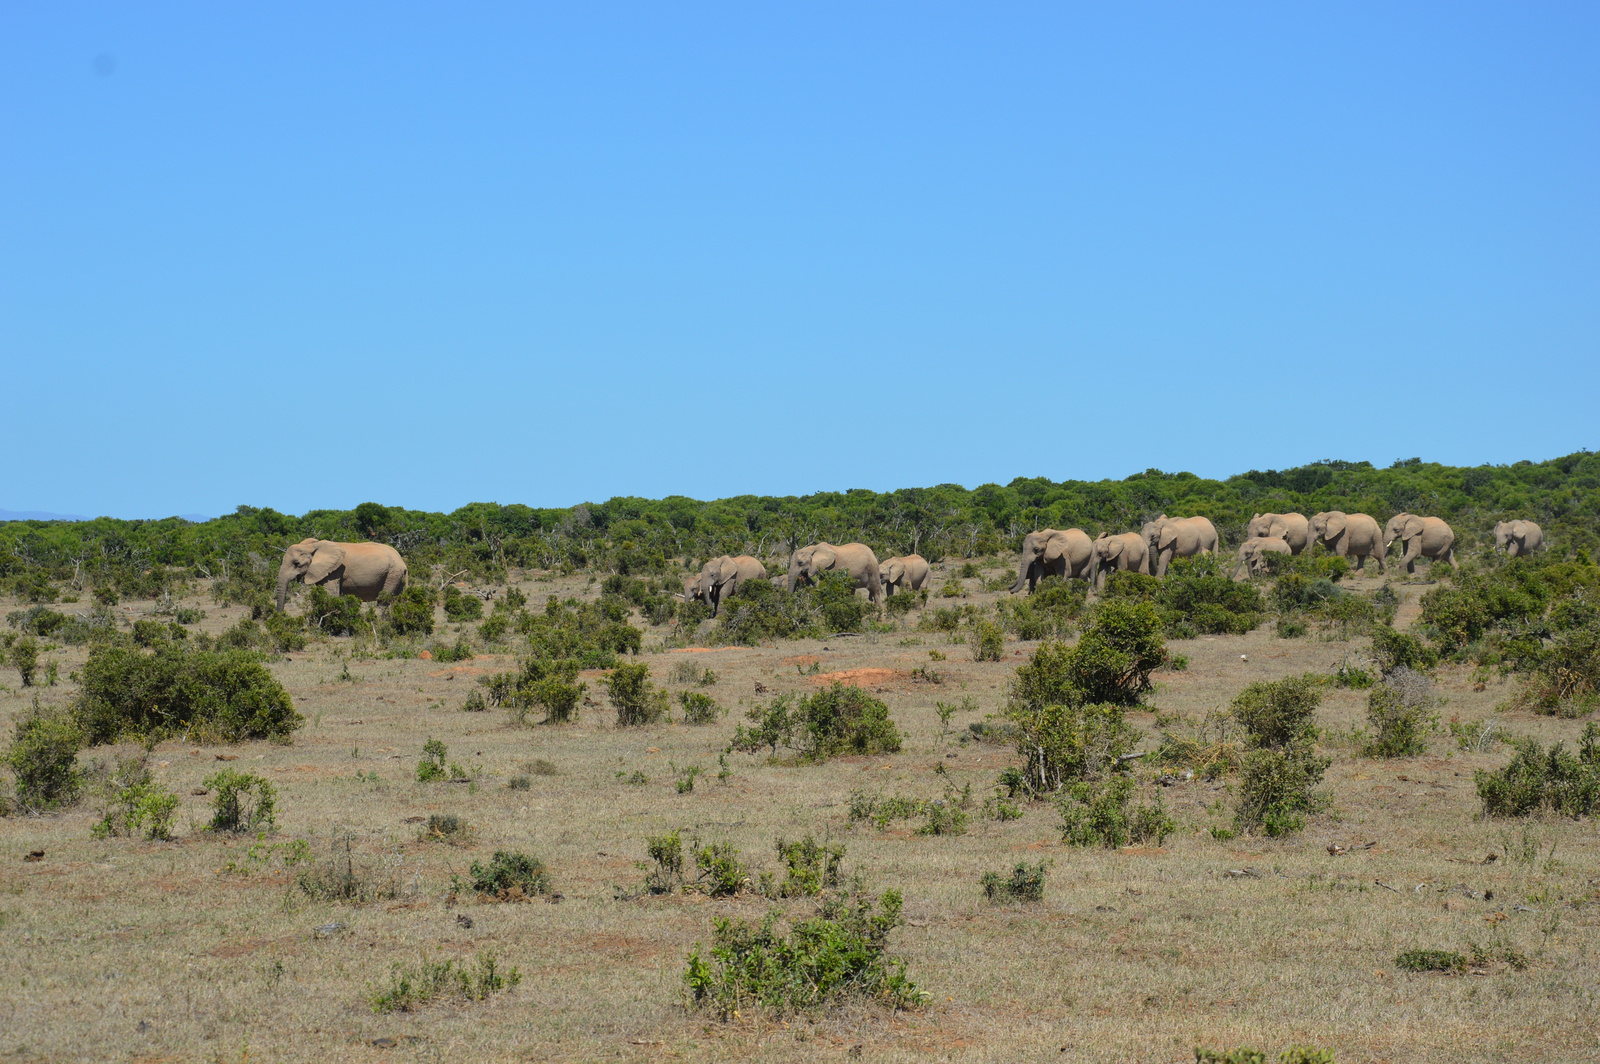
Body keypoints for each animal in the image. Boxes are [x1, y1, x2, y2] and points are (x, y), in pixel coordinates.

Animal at [273, 540, 406, 604]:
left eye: (296, 563)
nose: (280, 616)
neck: (313, 545)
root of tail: (402, 562)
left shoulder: (335, 570)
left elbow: (329, 594)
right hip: (397, 575)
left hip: (393, 573)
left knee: (384, 600)